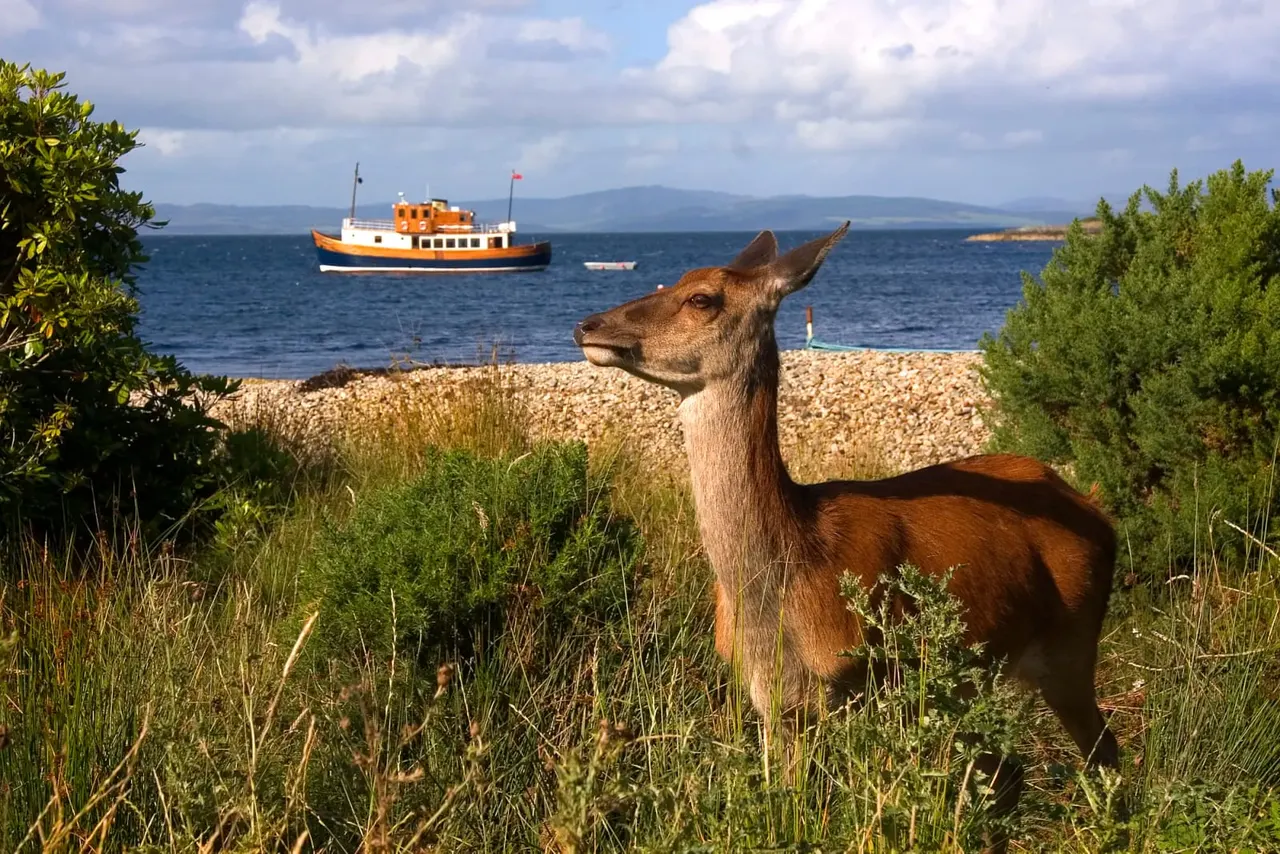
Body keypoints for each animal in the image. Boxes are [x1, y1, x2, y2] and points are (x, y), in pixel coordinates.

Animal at [572, 222, 1120, 846]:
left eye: (703, 298)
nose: (588, 325)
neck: (794, 566)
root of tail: (1094, 507)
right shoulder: (772, 701)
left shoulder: (862, 680)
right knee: (1006, 774)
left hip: (1074, 640)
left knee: (1104, 754)